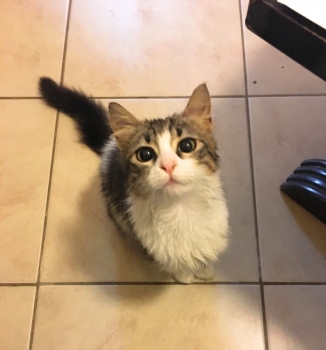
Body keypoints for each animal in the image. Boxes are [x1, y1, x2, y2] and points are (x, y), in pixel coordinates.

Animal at [38, 78, 229, 284]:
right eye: (145, 154)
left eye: (187, 145)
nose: (168, 165)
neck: (181, 208)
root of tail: (109, 144)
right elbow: (176, 264)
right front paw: (185, 276)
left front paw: (205, 269)